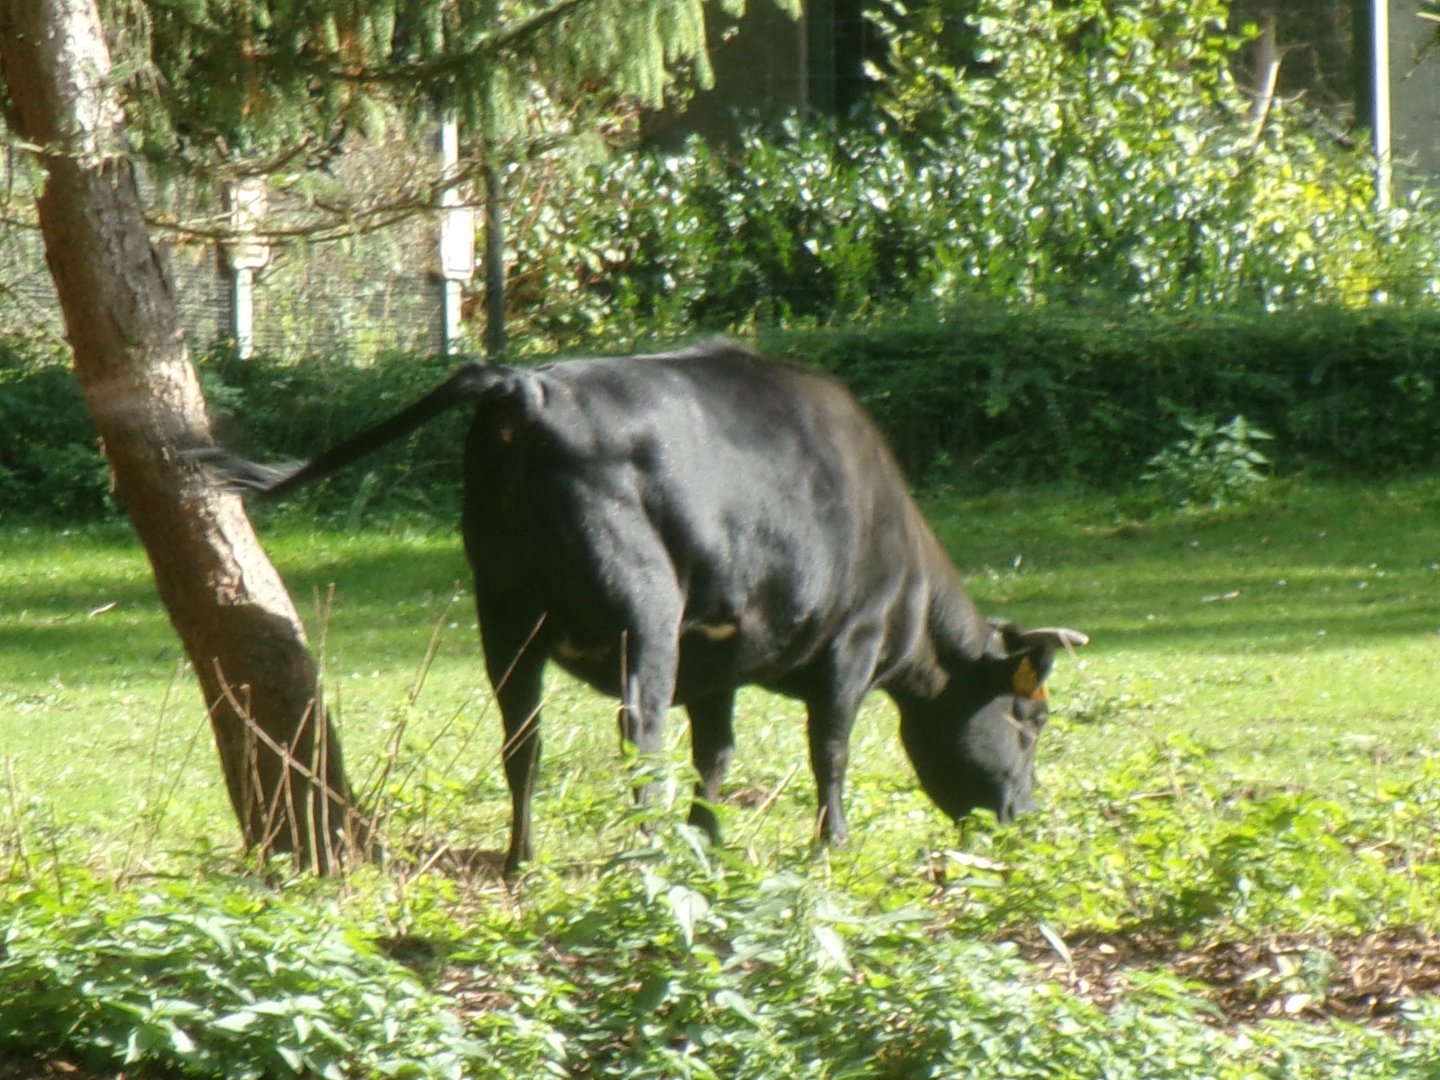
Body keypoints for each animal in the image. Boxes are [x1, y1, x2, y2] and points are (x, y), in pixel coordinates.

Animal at [196, 341, 1086, 876]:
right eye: (1032, 719)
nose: (1026, 815)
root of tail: (526, 384)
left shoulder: (723, 657)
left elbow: (717, 753)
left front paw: (711, 835)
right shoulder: (850, 647)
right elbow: (828, 752)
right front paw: (830, 843)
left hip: (505, 611)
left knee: (522, 737)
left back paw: (523, 857)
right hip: (643, 610)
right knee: (639, 731)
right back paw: (646, 847)